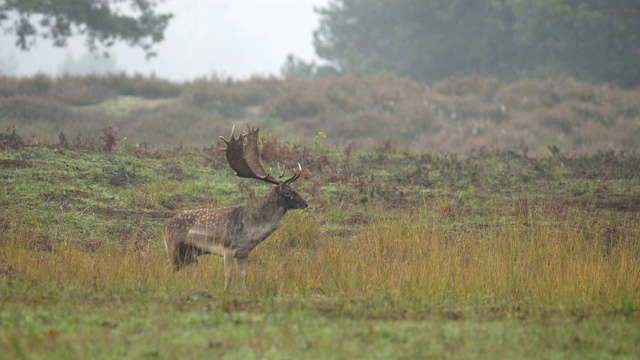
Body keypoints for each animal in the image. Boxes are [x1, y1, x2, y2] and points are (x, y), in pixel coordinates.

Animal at [164, 124, 306, 290]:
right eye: (288, 192)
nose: (305, 203)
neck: (250, 232)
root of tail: (165, 227)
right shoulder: (228, 248)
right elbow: (228, 276)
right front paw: (225, 291)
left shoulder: (243, 253)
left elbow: (244, 277)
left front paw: (244, 291)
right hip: (174, 248)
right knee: (169, 270)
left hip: (189, 255)